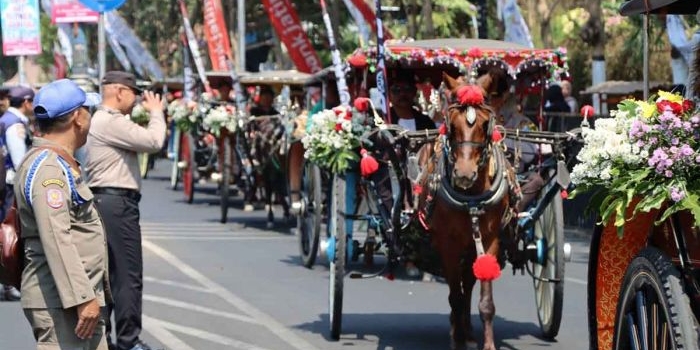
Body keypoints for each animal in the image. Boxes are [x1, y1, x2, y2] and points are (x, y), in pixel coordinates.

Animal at [416, 72, 520, 350]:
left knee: (469, 283)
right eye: (451, 125)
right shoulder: (447, 243)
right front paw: (458, 339)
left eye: (485, 124)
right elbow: (455, 295)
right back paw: (458, 329)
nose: (464, 174)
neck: (471, 198)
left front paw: (487, 343)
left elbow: (484, 300)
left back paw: (468, 330)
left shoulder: (490, 240)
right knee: (459, 290)